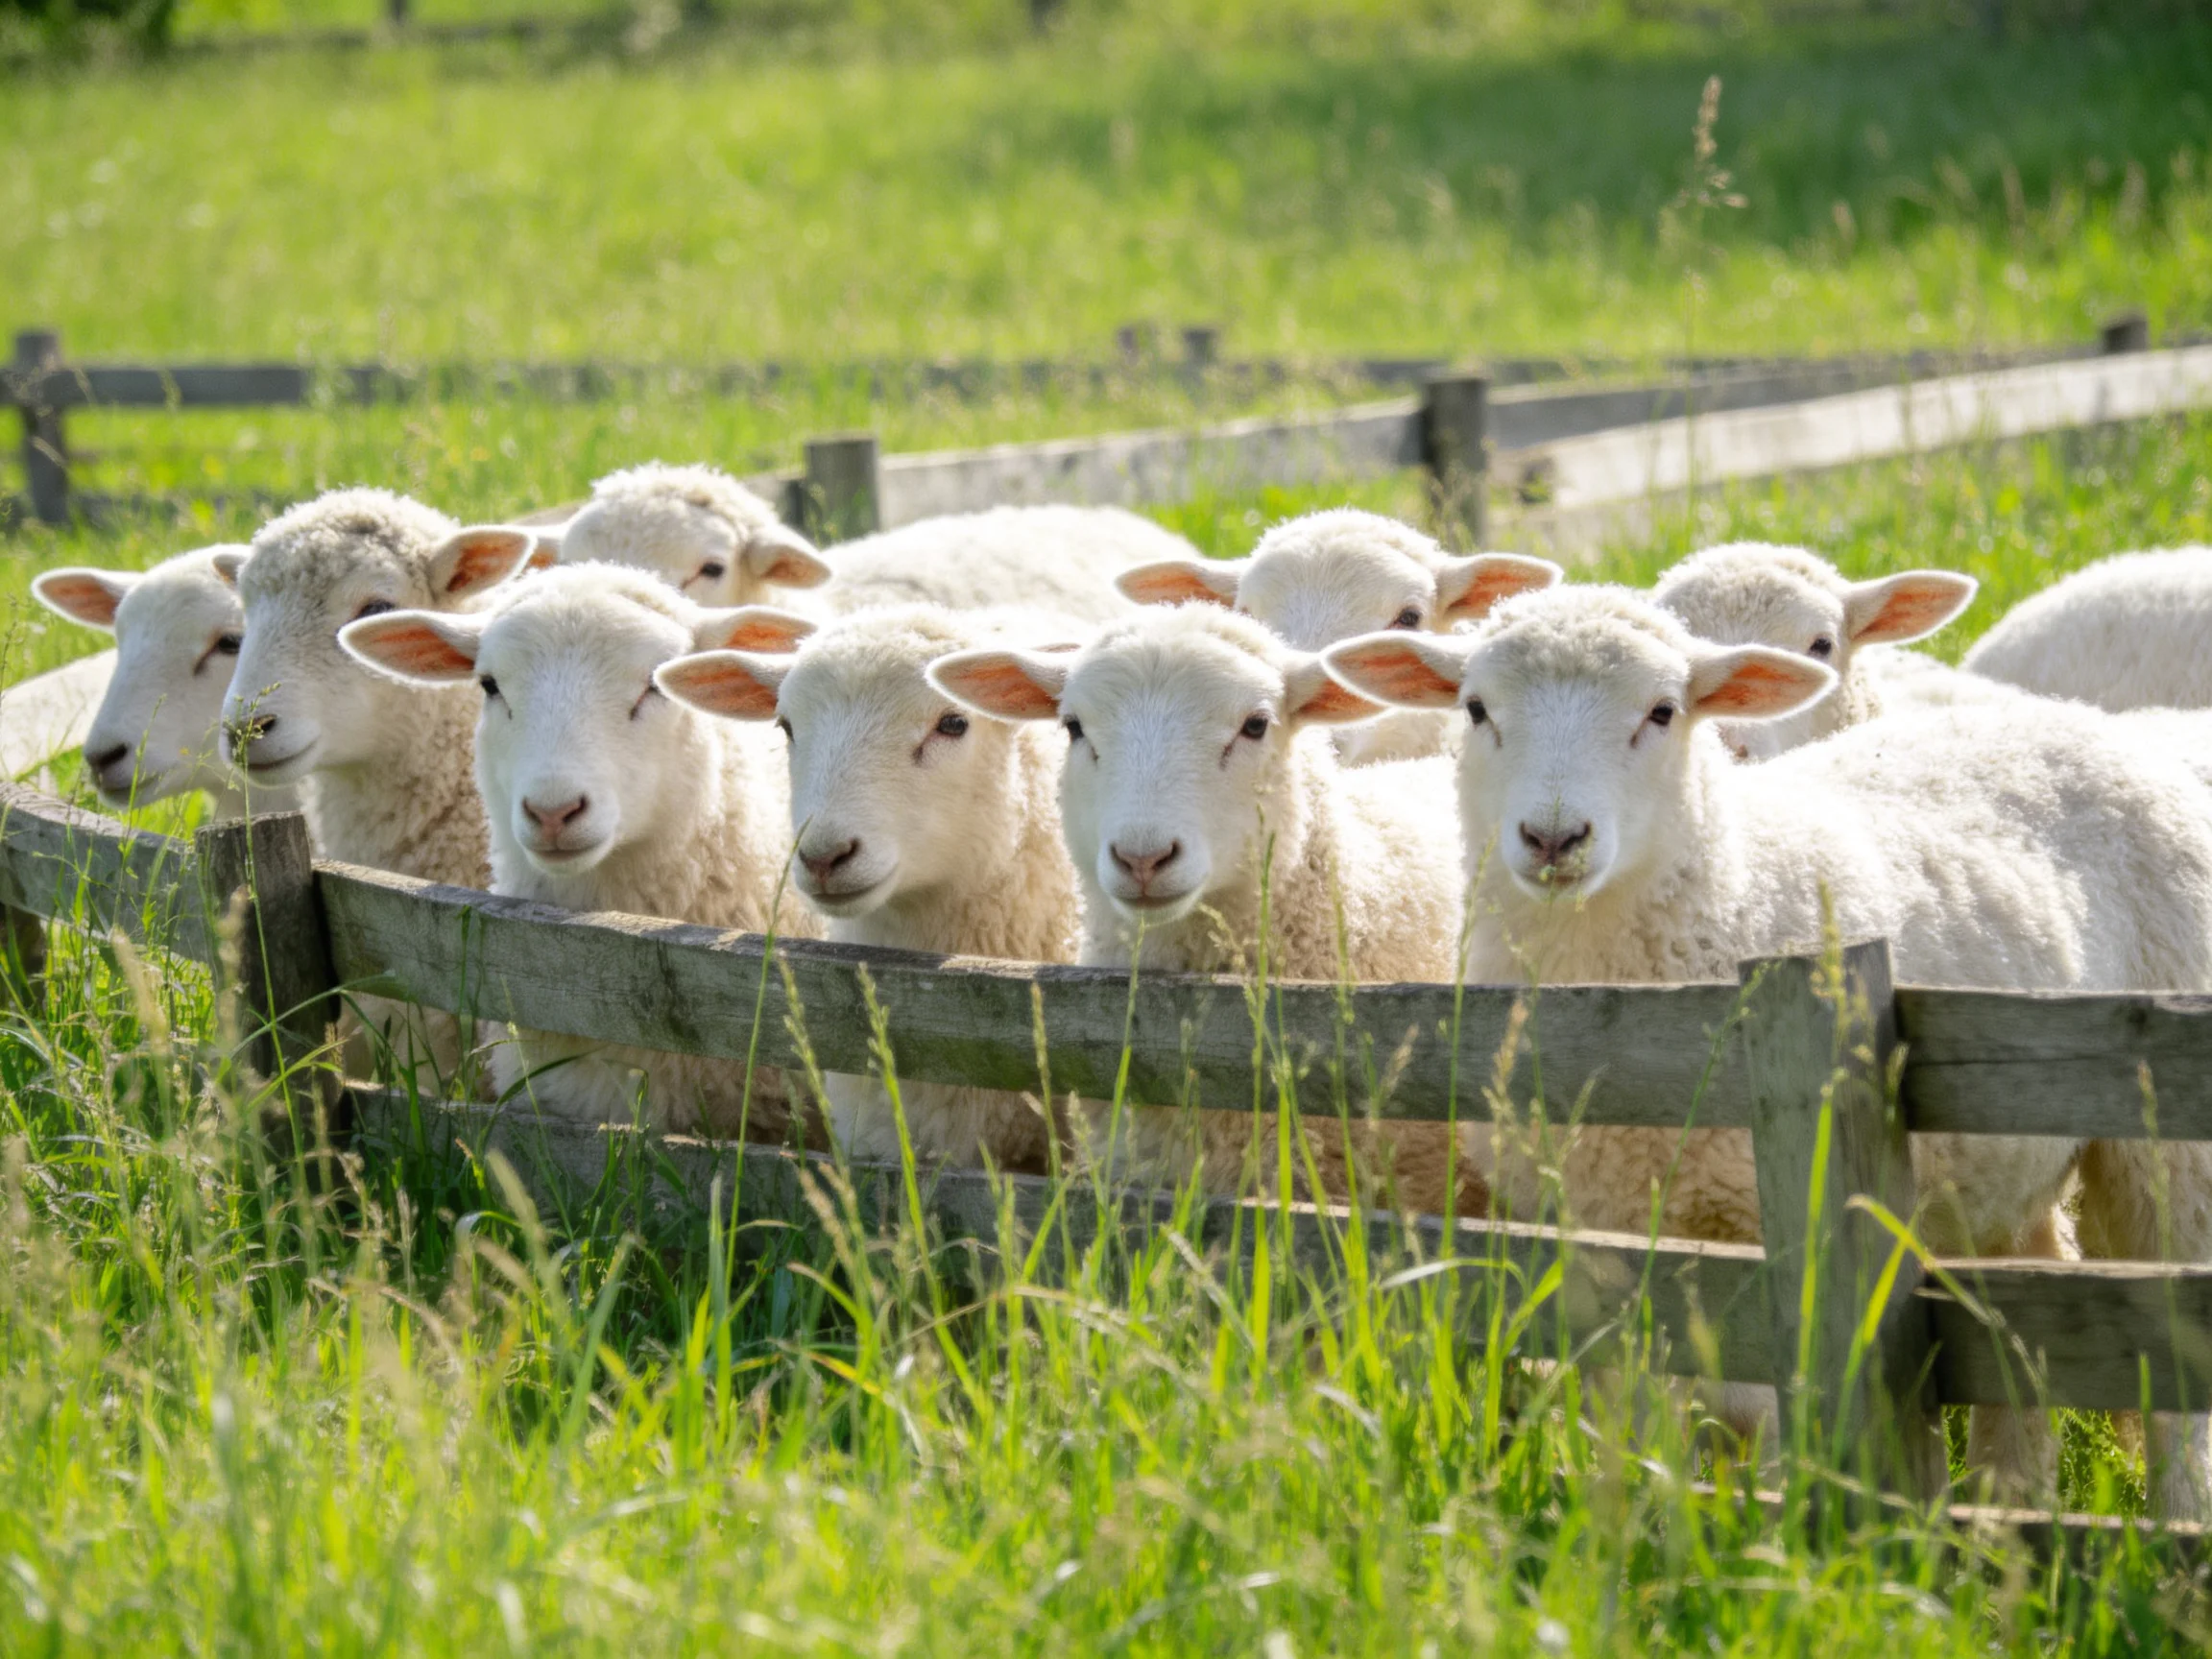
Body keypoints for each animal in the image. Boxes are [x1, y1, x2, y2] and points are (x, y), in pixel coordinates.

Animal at [1323, 584, 2212, 1516]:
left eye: (1664, 711)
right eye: (1476, 709)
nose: (1554, 839)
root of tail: (2076, 719)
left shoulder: (1780, 1236)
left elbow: (1762, 1418)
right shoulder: (1592, 1236)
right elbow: (1628, 1422)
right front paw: (1627, 1527)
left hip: (2163, 1137)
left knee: (2173, 1333)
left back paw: (2176, 1513)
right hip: (1996, 1167)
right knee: (2019, 1303)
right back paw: (2008, 1510)